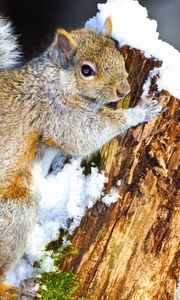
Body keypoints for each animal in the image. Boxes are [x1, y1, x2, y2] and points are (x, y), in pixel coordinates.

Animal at [0, 15, 166, 290]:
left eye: (118, 55)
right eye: (86, 70)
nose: (123, 90)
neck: (55, 79)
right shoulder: (55, 113)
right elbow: (84, 134)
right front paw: (139, 112)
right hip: (13, 213)